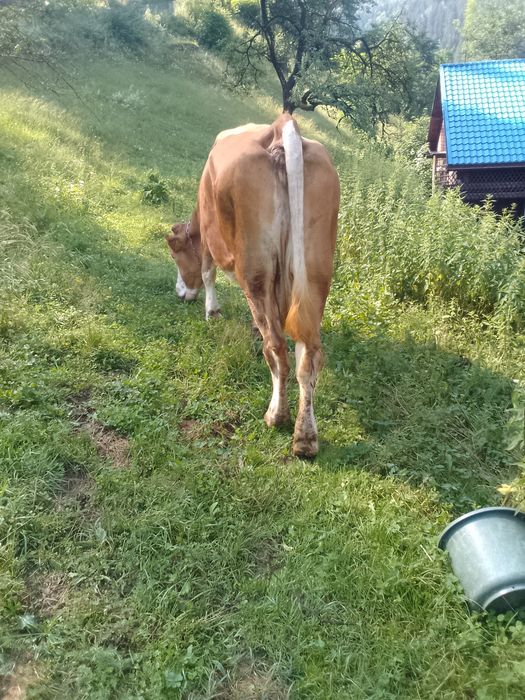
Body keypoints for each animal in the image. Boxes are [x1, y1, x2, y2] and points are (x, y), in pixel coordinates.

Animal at [166, 113, 339, 457]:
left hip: (255, 269)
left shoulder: (210, 235)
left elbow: (207, 272)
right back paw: (305, 438)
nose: (180, 294)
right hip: (315, 270)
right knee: (307, 354)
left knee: (276, 348)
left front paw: (212, 312)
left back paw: (276, 415)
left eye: (176, 254)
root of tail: (281, 127)